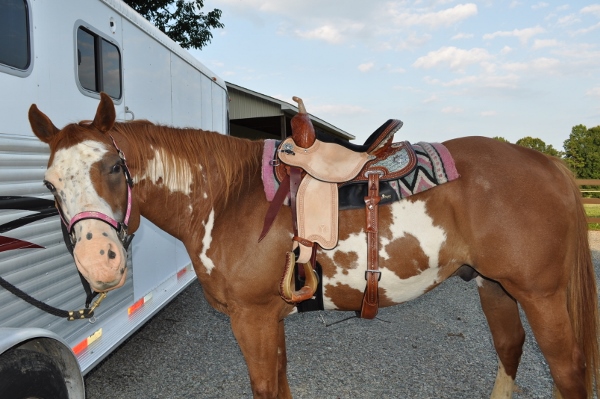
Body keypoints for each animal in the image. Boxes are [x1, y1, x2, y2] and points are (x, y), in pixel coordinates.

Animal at [29, 93, 600, 396]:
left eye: (114, 167)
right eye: (50, 183)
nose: (99, 263)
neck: (226, 196)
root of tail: (549, 163)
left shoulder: (252, 318)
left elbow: (265, 387)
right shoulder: (269, 319)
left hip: (541, 295)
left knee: (567, 369)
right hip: (493, 287)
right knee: (510, 348)